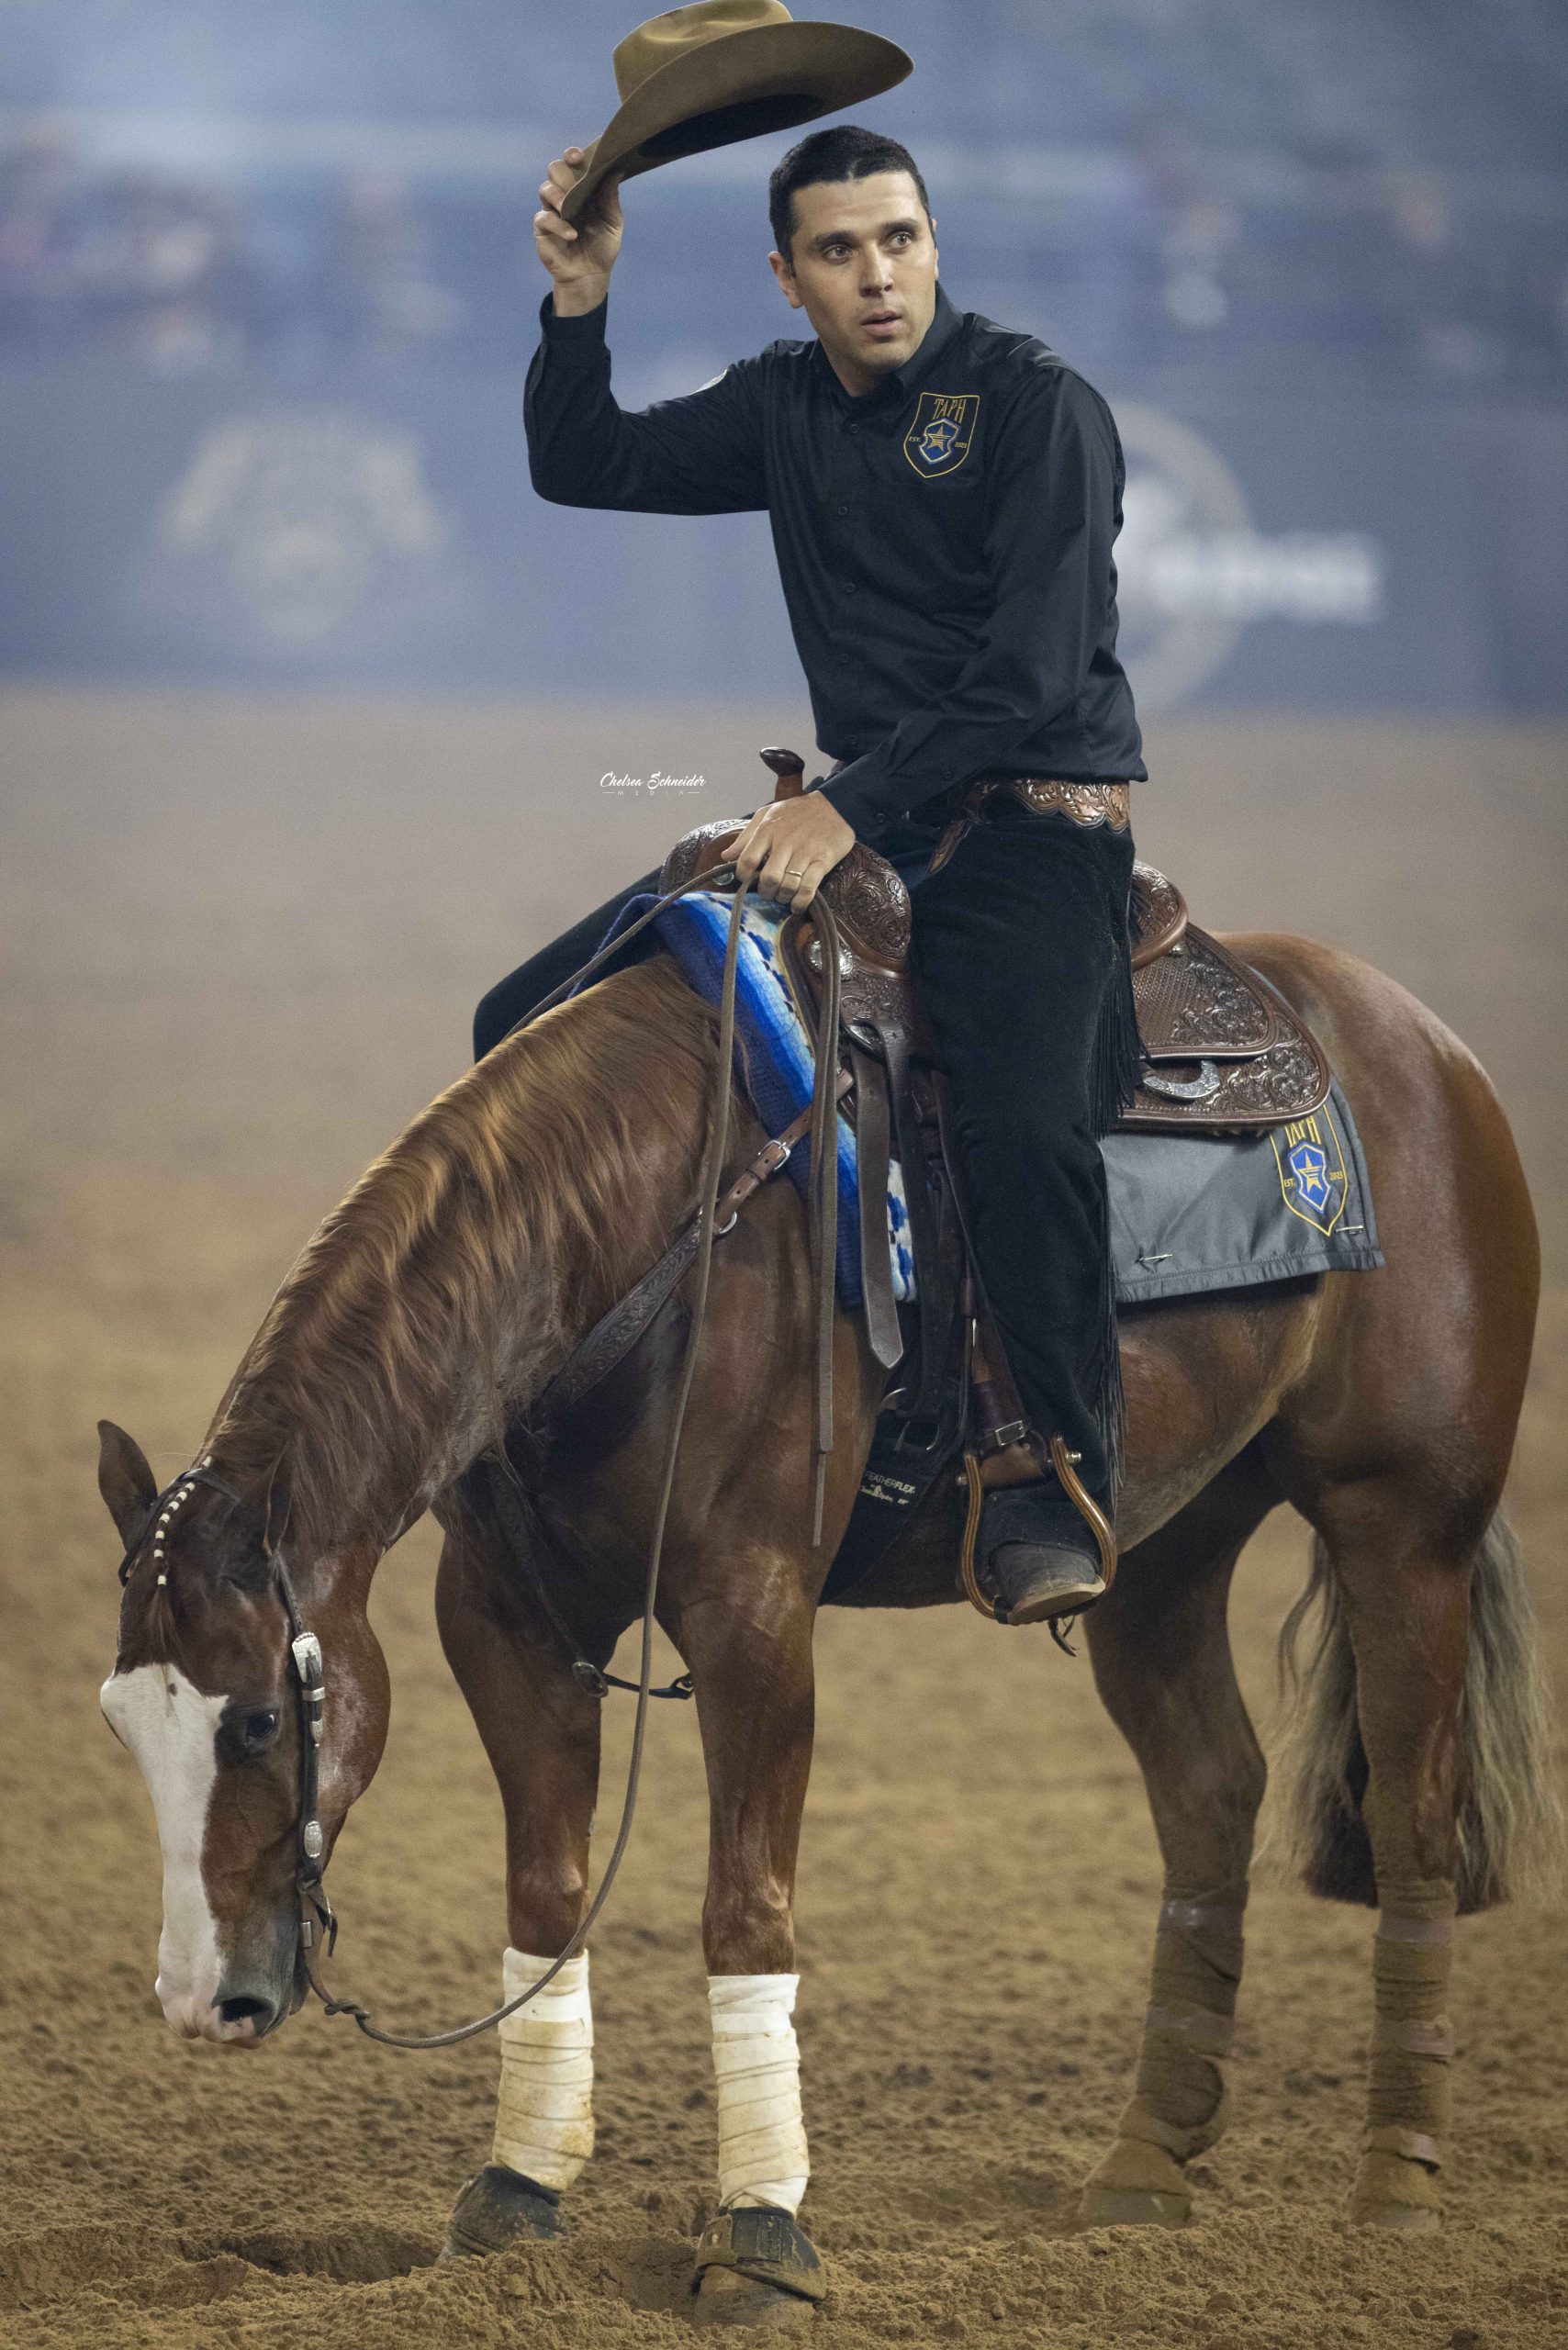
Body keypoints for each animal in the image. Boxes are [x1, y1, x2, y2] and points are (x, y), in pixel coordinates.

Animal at [97, 925, 1561, 2322]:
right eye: (120, 1721)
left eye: (262, 1718)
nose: (200, 2000)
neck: (644, 1234)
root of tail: (1423, 1044)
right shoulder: (504, 1616)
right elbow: (546, 1893)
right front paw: (513, 2195)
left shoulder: (750, 1612)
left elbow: (746, 1913)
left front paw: (761, 2241)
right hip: (1164, 1547)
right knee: (1209, 1794)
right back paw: (1143, 2171)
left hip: (1401, 1522)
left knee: (1413, 1814)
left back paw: (1397, 2184)